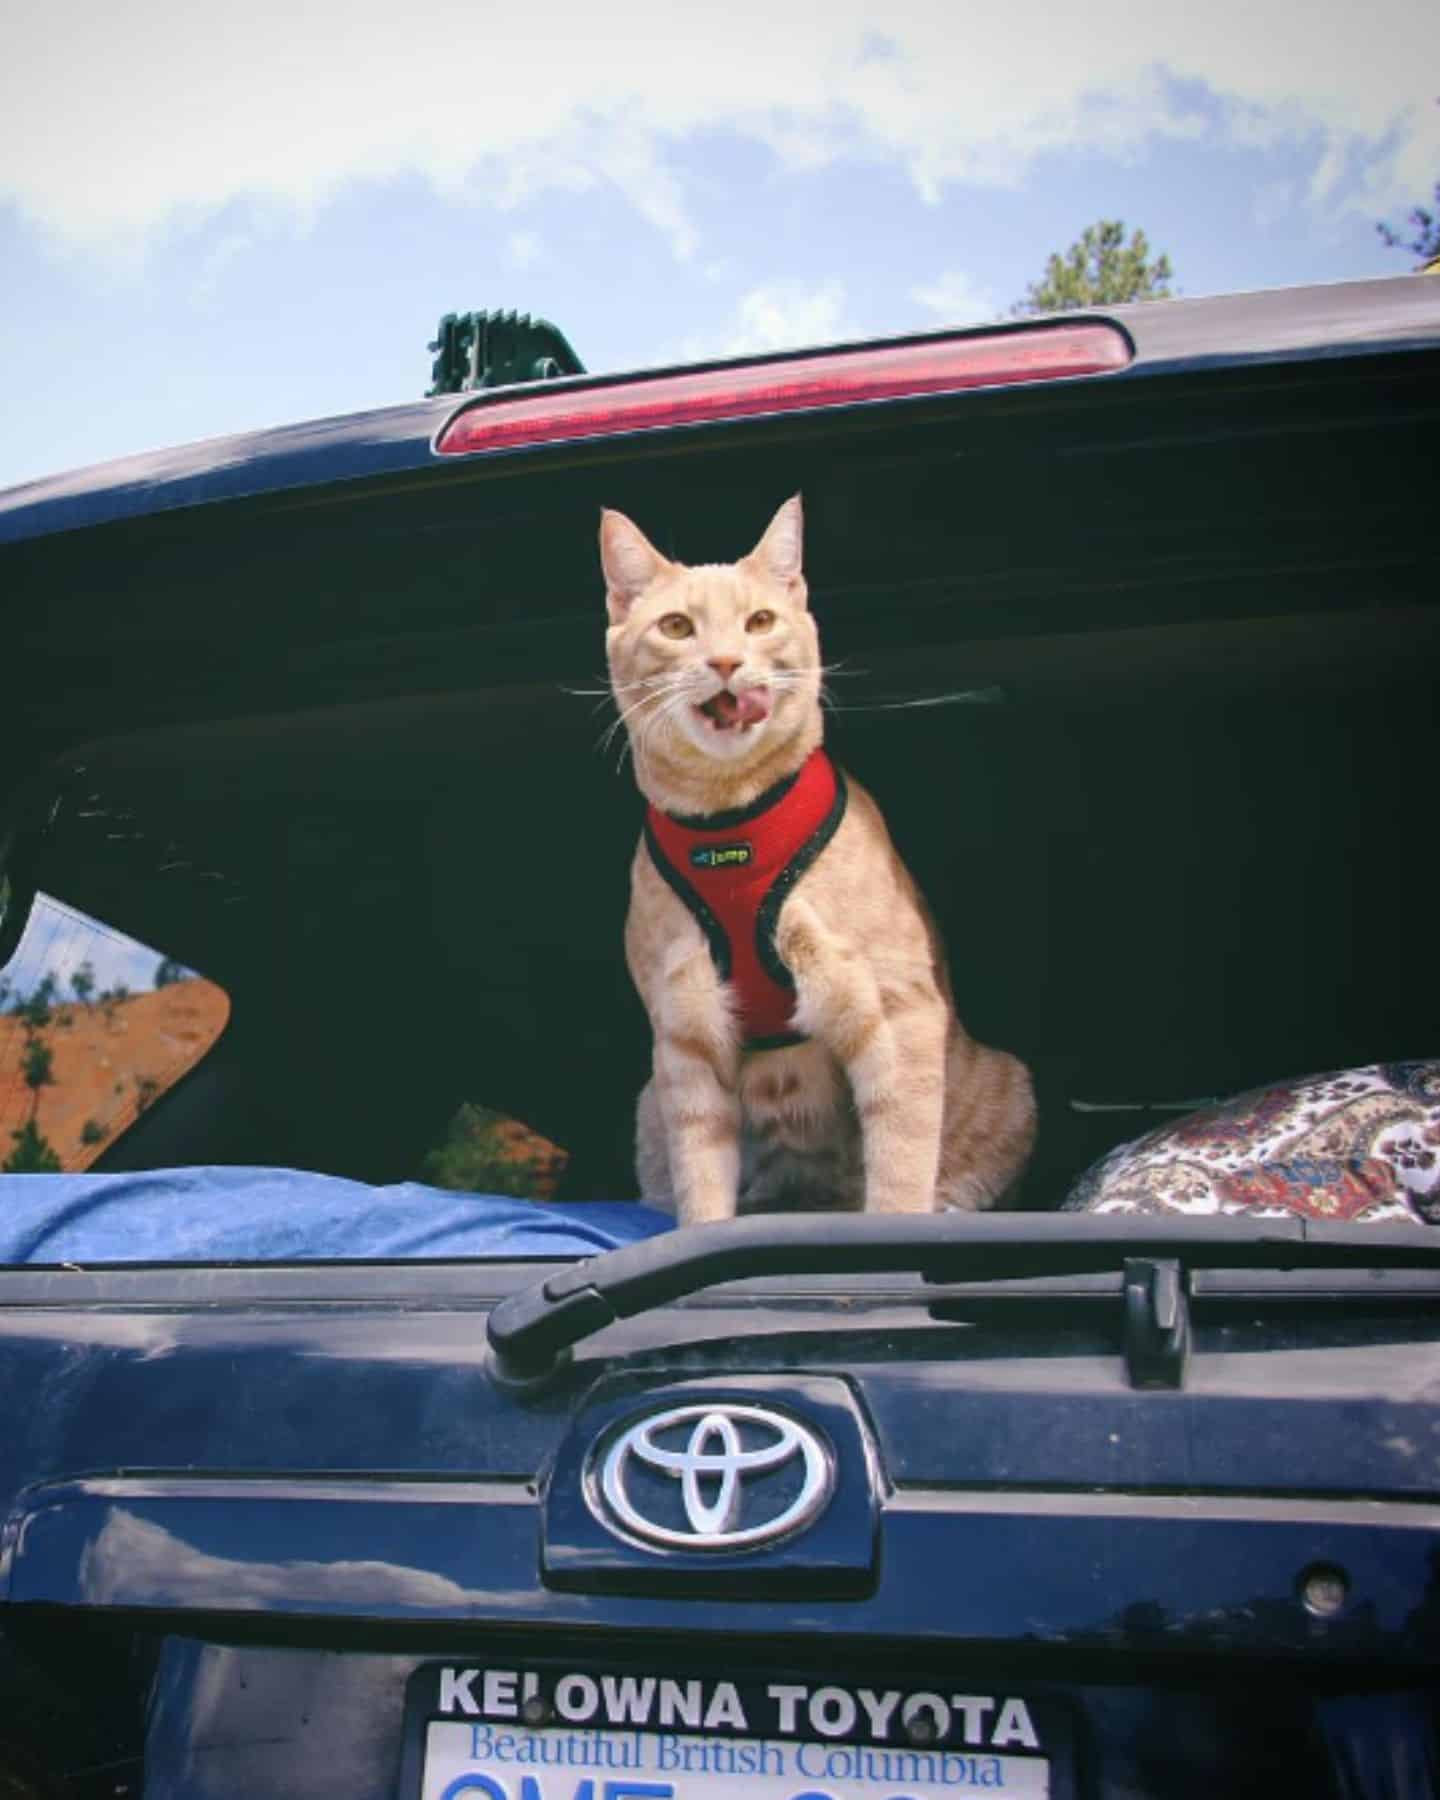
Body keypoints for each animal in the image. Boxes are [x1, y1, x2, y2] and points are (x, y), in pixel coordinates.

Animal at [597, 493, 1036, 1224]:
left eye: (760, 621)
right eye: (678, 627)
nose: (725, 662)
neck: (732, 827)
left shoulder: (896, 1012)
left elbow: (900, 1169)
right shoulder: (685, 1039)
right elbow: (701, 1186)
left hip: (1011, 1087)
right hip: (647, 1104)